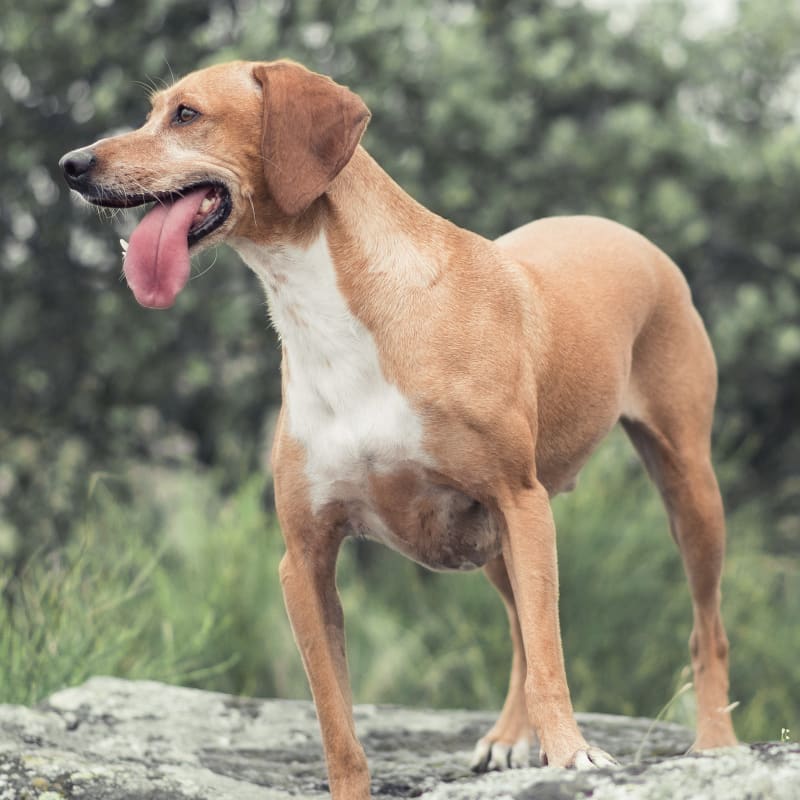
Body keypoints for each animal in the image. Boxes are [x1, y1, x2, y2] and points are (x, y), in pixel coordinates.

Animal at [61, 61, 736, 800]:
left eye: (186, 114)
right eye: (152, 110)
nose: (72, 164)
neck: (331, 317)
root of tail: (623, 232)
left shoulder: (520, 502)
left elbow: (552, 657)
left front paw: (571, 753)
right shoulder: (306, 559)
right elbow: (338, 725)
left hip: (684, 493)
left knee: (701, 631)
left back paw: (715, 745)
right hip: (495, 544)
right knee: (519, 631)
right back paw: (510, 735)